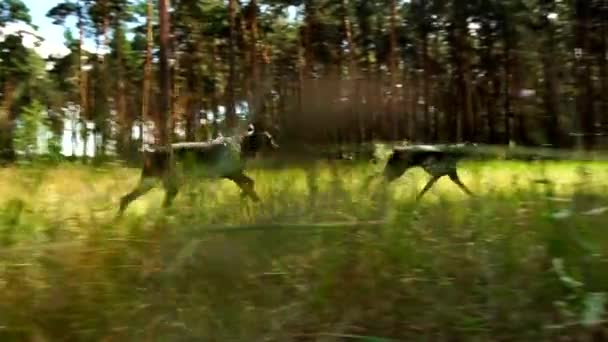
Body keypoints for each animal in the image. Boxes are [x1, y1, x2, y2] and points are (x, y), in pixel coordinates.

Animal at [117, 124, 280, 215]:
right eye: (270, 139)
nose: (277, 147)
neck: (241, 145)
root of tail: (150, 152)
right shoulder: (232, 174)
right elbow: (250, 184)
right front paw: (248, 197)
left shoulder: (234, 175)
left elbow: (250, 187)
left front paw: (254, 200)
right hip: (163, 183)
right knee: (134, 200)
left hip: (153, 183)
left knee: (126, 199)